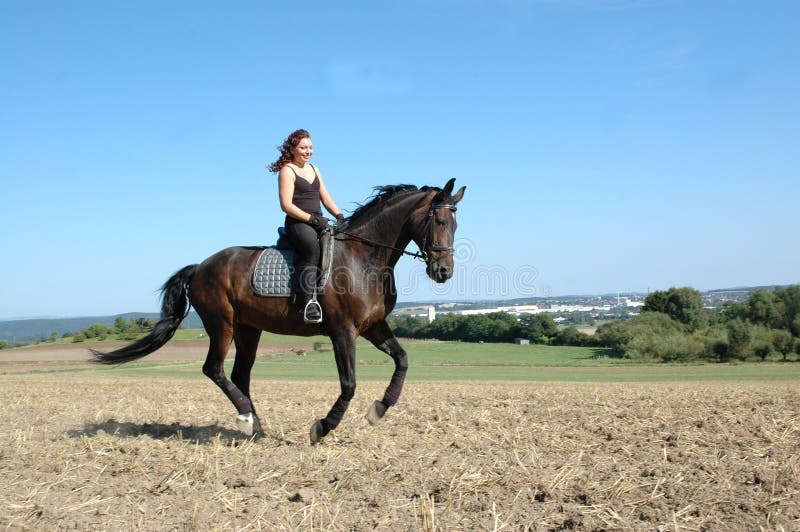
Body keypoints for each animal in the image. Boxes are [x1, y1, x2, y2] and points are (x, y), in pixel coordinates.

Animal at [90, 179, 466, 444]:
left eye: (455, 224)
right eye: (439, 220)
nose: (443, 272)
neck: (365, 259)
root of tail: (199, 268)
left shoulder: (373, 326)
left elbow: (402, 359)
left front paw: (379, 410)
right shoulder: (342, 331)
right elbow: (349, 384)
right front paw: (322, 428)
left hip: (248, 329)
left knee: (240, 375)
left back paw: (256, 428)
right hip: (222, 324)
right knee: (214, 369)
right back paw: (245, 419)